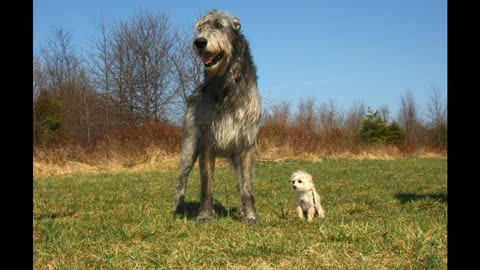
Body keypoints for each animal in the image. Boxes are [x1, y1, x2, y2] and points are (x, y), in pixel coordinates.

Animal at [172, 9, 260, 224]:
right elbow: (207, 183)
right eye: (200, 28)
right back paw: (178, 209)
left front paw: (251, 216)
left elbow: (247, 185)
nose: (200, 42)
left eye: (219, 25)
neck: (225, 83)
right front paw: (204, 215)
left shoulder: (246, 143)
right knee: (181, 179)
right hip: (189, 146)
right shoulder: (207, 142)